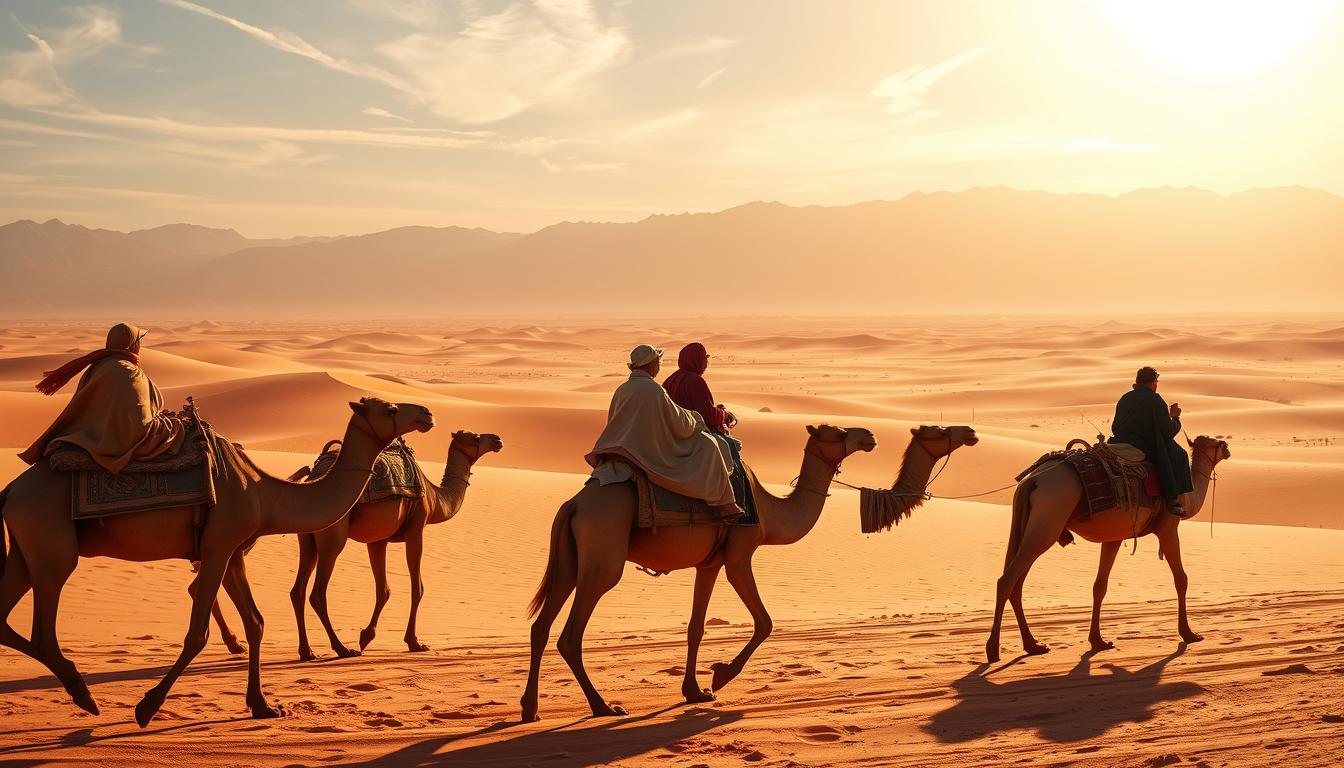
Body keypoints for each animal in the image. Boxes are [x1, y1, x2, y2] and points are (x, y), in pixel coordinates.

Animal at [0, 397, 433, 727]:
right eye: (390, 408)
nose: (426, 413)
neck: (263, 493)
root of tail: (10, 492)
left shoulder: (234, 550)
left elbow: (256, 623)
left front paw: (262, 705)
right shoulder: (217, 546)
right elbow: (197, 633)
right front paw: (147, 707)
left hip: (23, 549)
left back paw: (81, 692)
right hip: (51, 544)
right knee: (43, 626)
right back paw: (84, 694)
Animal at [289, 430, 503, 660]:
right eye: (475, 437)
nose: (497, 440)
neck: (435, 498)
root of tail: (312, 478)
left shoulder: (377, 540)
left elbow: (383, 589)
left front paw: (366, 637)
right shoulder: (416, 529)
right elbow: (417, 588)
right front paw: (414, 643)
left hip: (307, 538)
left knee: (297, 590)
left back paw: (307, 652)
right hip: (333, 536)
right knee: (318, 593)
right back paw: (342, 649)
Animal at [520, 423, 979, 722]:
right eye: (835, 432)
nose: (868, 436)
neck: (772, 513)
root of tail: (574, 505)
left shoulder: (709, 562)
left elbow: (696, 626)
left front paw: (695, 691)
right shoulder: (740, 554)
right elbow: (765, 621)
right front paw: (721, 676)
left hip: (570, 560)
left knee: (541, 626)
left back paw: (530, 708)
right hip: (603, 558)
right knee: (570, 633)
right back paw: (603, 706)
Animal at [985, 435, 1231, 663]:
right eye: (1217, 443)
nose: (1228, 448)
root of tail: (1033, 480)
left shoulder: (1114, 536)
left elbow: (1099, 586)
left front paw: (1098, 641)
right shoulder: (1168, 528)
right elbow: (1181, 579)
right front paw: (1189, 634)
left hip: (1026, 522)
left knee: (1016, 581)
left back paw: (1033, 645)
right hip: (1047, 521)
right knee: (1007, 580)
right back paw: (993, 649)